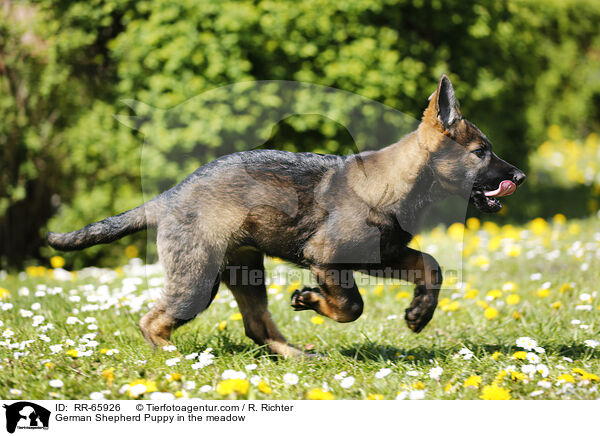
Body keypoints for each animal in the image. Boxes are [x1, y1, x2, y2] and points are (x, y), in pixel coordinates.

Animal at [48, 75, 524, 358]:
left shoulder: (384, 255)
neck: (398, 182)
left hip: (244, 270)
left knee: (257, 326)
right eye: (480, 153)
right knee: (153, 321)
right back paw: (174, 361)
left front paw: (419, 313)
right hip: (199, 279)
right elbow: (351, 305)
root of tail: (169, 196)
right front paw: (309, 299)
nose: (518, 176)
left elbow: (431, 265)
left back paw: (298, 355)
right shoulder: (327, 259)